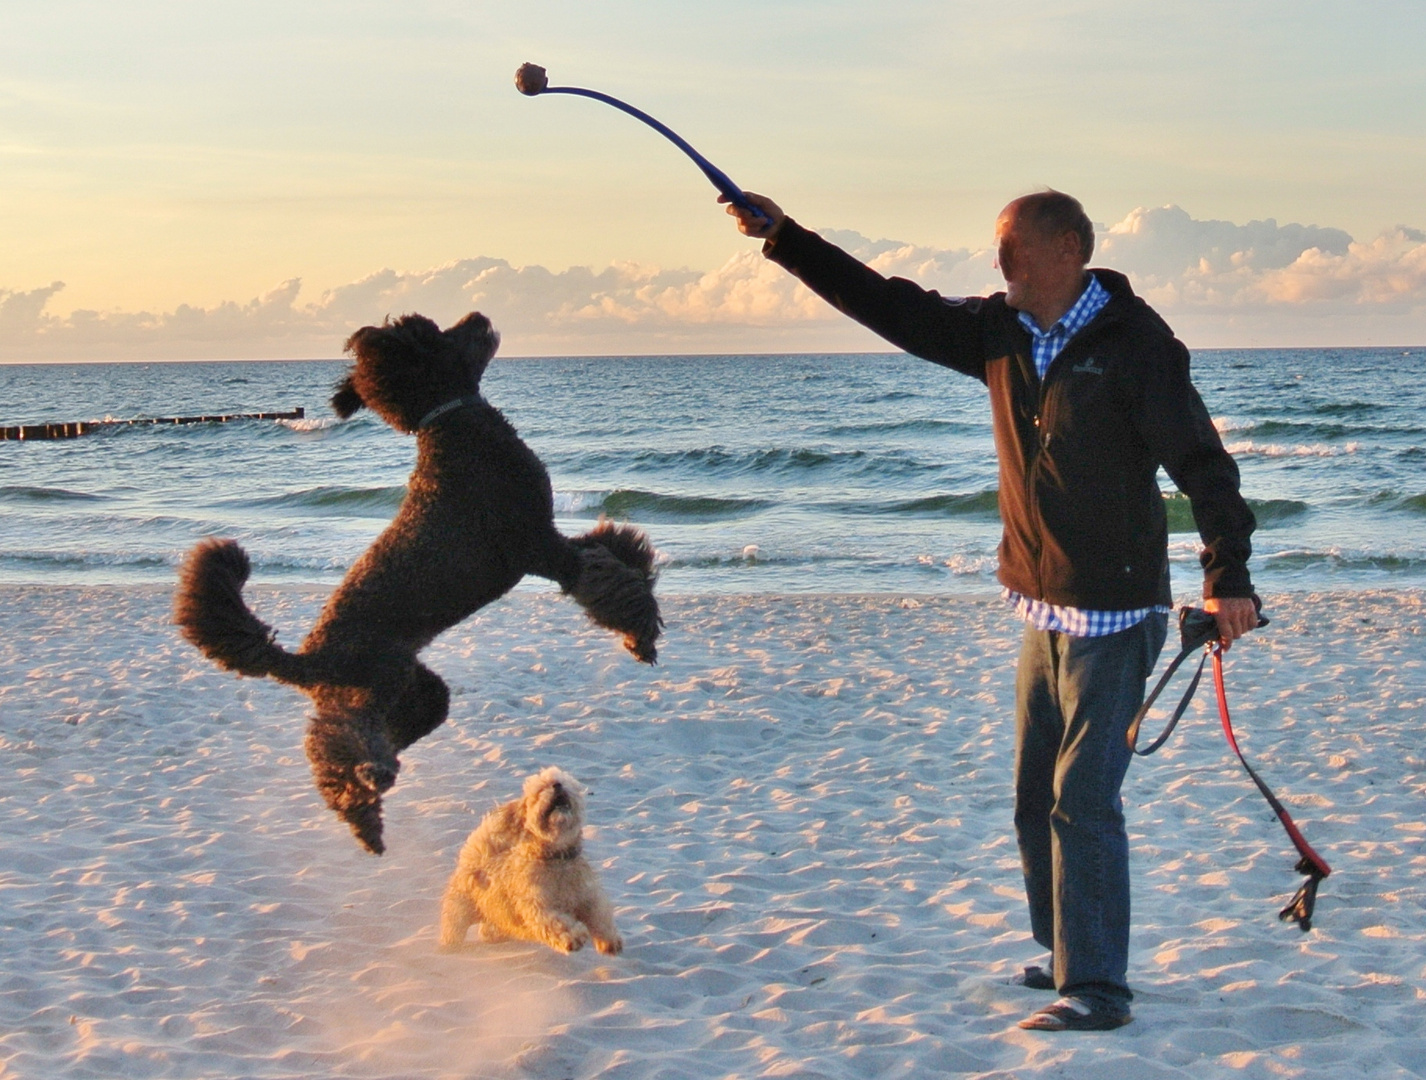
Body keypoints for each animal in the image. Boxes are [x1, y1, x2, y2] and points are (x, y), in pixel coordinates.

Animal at [176, 309, 661, 850]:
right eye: (432, 332)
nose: (478, 315)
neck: (448, 424)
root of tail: (307, 659)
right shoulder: (541, 548)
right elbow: (613, 584)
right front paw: (640, 634)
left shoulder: (552, 540)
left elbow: (618, 549)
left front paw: (645, 609)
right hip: (371, 685)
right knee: (337, 743)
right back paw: (361, 800)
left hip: (418, 694)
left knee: (382, 736)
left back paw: (372, 792)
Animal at [436, 764, 621, 953]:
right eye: (540, 790)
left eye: (565, 783)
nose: (557, 785)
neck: (558, 858)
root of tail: (478, 857)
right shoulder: (538, 906)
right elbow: (557, 923)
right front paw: (573, 937)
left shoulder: (588, 896)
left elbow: (599, 915)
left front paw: (609, 940)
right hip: (459, 909)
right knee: (453, 927)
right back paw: (449, 946)